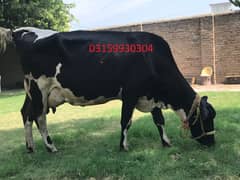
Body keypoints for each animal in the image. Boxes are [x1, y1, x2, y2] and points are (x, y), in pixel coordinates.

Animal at [1, 27, 216, 153]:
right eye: (207, 119)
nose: (212, 143)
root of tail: (21, 31)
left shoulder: (150, 95)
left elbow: (159, 121)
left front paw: (166, 142)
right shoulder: (130, 93)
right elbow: (126, 121)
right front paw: (123, 146)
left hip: (31, 91)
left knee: (26, 114)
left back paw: (30, 147)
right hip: (39, 88)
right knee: (39, 117)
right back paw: (51, 147)